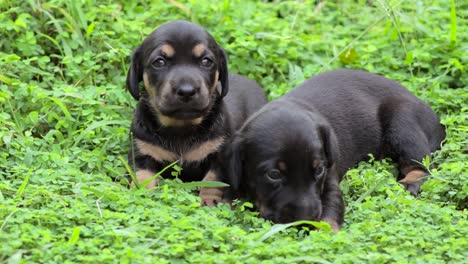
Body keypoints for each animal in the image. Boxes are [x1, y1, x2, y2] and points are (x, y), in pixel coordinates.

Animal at [127, 21, 266, 206]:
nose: (186, 91)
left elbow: (212, 180)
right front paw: (140, 194)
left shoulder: (220, 155)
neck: (180, 127)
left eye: (206, 61)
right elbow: (143, 177)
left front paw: (209, 201)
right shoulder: (142, 152)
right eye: (159, 62)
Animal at [226, 69, 446, 231]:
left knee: (424, 166)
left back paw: (409, 183)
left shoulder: (329, 180)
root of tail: (437, 121)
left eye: (319, 170)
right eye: (273, 175)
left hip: (402, 122)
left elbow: (330, 211)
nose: (306, 217)